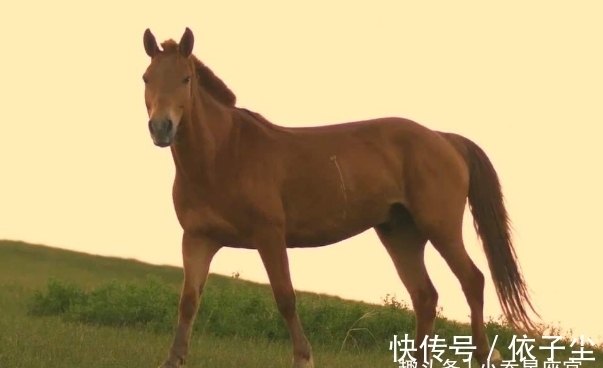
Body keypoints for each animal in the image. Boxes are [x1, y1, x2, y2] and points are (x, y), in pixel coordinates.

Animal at [143, 26, 544, 368]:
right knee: (425, 296)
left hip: (440, 228)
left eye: (185, 78)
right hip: (400, 233)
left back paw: (483, 356)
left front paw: (303, 358)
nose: (161, 128)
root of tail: (443, 138)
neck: (223, 155)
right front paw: (173, 359)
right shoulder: (198, 238)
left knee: (472, 281)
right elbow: (188, 302)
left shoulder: (269, 236)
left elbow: (285, 298)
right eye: (147, 78)